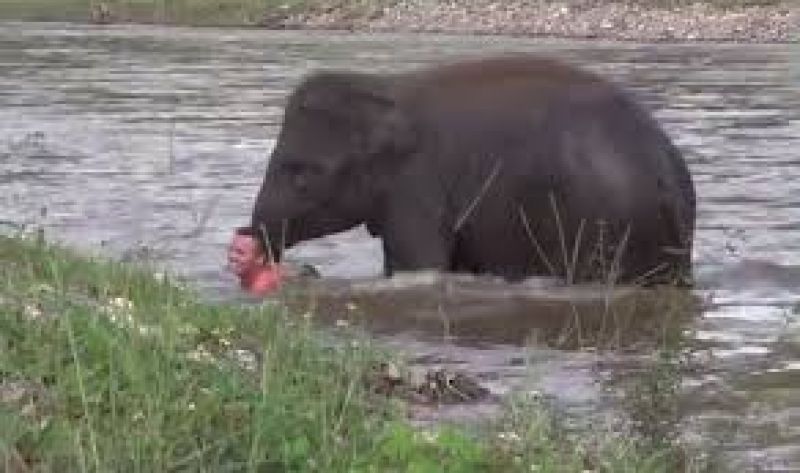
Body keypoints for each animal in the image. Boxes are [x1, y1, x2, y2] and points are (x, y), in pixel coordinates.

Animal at [245, 54, 696, 286]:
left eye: (301, 174)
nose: (248, 245)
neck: (384, 87)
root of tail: (665, 171)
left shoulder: (418, 187)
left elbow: (416, 269)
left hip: (609, 227)